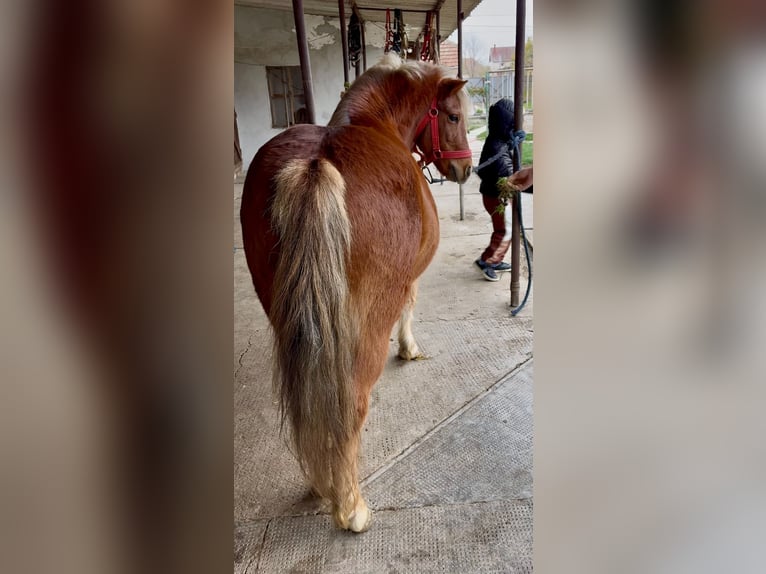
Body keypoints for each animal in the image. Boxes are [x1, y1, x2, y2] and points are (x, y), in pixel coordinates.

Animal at [240, 54, 473, 532]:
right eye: (454, 116)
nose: (467, 169)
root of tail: (315, 167)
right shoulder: (408, 278)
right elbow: (411, 306)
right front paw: (408, 348)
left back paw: (319, 481)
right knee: (352, 402)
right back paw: (351, 506)